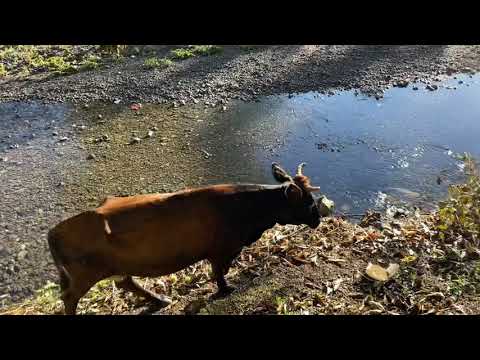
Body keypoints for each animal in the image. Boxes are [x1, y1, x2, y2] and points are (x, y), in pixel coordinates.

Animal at [47, 162, 322, 314]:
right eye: (308, 202)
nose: (318, 219)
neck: (247, 207)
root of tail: (54, 232)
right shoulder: (221, 249)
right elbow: (219, 271)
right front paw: (225, 289)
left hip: (113, 268)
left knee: (126, 283)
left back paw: (160, 299)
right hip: (84, 276)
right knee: (70, 299)